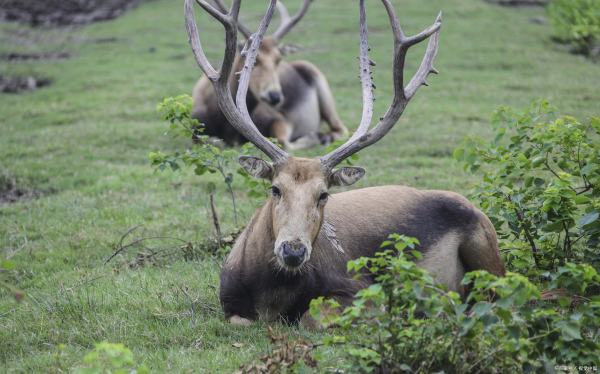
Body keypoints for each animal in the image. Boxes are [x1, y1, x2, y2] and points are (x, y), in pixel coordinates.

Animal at [188, 0, 346, 149]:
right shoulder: (195, 122)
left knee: (341, 129)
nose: (275, 96)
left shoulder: (279, 117)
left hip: (319, 81)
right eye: (254, 60)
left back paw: (324, 137)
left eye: (278, 59)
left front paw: (314, 138)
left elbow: (283, 142)